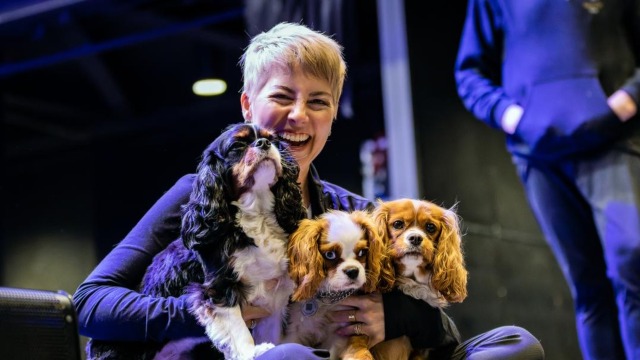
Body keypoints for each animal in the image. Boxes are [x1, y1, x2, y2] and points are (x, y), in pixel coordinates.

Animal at [284, 210, 396, 358]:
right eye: (330, 254)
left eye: (362, 252)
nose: (352, 271)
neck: (328, 297)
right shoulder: (297, 330)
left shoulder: (338, 336)